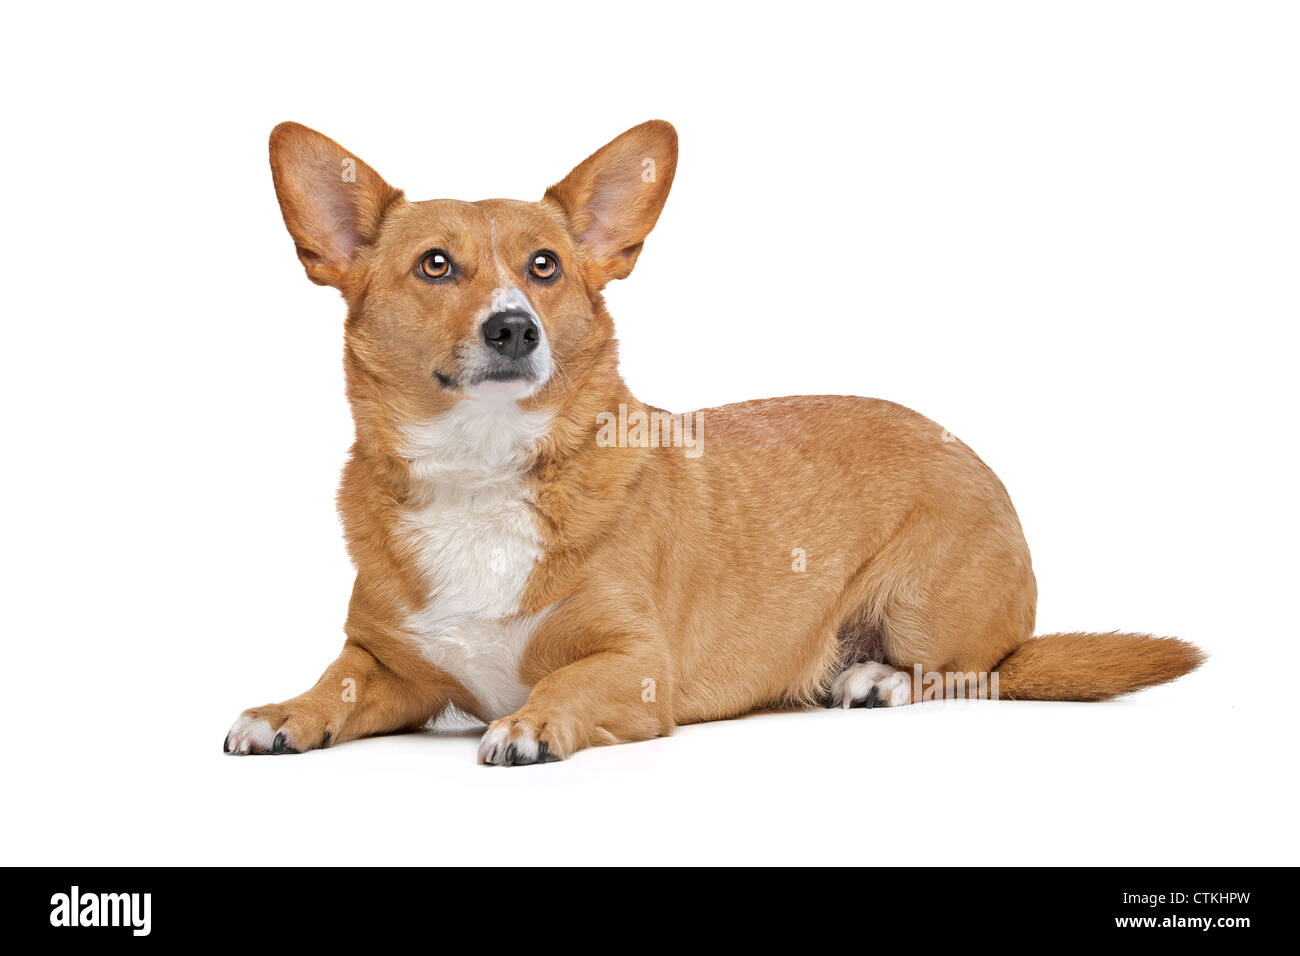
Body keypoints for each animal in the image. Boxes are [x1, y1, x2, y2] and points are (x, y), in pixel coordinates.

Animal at [226, 119, 1206, 764]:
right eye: (435, 265)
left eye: (545, 267)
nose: (514, 329)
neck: (482, 468)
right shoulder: (385, 662)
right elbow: (335, 683)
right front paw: (283, 711)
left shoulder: (634, 664)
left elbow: (564, 684)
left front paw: (532, 723)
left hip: (925, 610)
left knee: (974, 669)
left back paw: (878, 678)